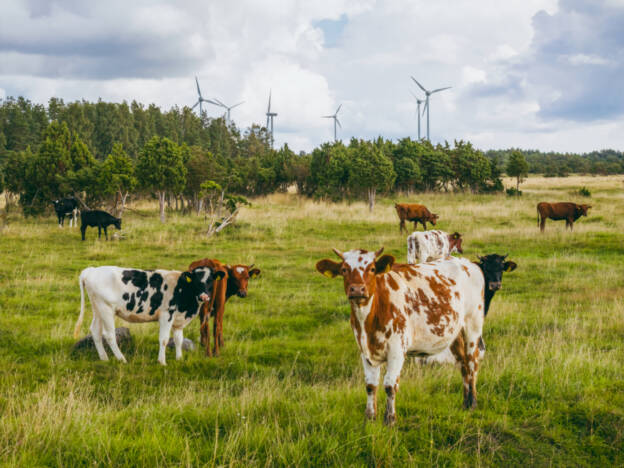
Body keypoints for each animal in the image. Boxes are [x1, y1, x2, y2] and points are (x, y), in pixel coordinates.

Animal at [75, 266, 227, 364]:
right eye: (196, 280)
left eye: (211, 280)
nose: (204, 296)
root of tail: (92, 270)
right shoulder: (166, 314)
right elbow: (164, 339)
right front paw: (162, 361)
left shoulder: (178, 320)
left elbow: (178, 339)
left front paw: (179, 359)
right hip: (106, 308)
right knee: (109, 335)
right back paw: (122, 359)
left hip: (97, 308)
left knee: (95, 331)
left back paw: (104, 358)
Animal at [316, 247, 488, 426]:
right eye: (344, 269)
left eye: (372, 269)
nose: (357, 290)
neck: (368, 321)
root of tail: (466, 262)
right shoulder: (365, 350)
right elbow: (370, 385)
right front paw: (370, 417)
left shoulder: (396, 350)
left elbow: (390, 385)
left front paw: (390, 419)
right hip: (455, 333)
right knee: (463, 364)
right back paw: (465, 403)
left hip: (473, 326)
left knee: (472, 362)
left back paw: (473, 403)